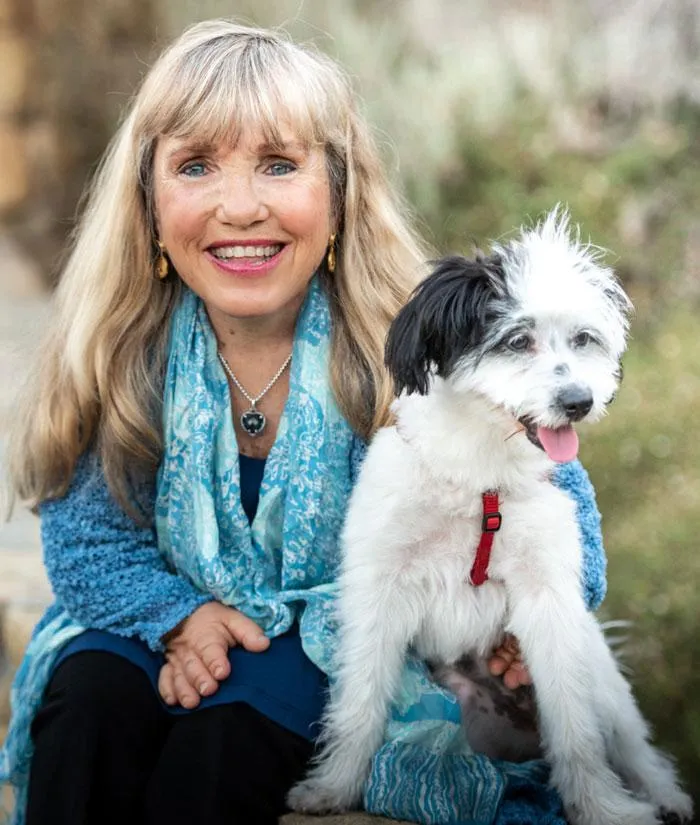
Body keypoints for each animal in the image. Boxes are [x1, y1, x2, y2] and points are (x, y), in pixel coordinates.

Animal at [290, 209, 696, 824]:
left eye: (583, 339)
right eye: (517, 340)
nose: (579, 402)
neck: (482, 479)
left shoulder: (550, 601)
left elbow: (575, 728)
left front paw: (602, 808)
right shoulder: (379, 591)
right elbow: (359, 703)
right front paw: (334, 788)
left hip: (599, 669)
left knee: (632, 744)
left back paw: (665, 796)